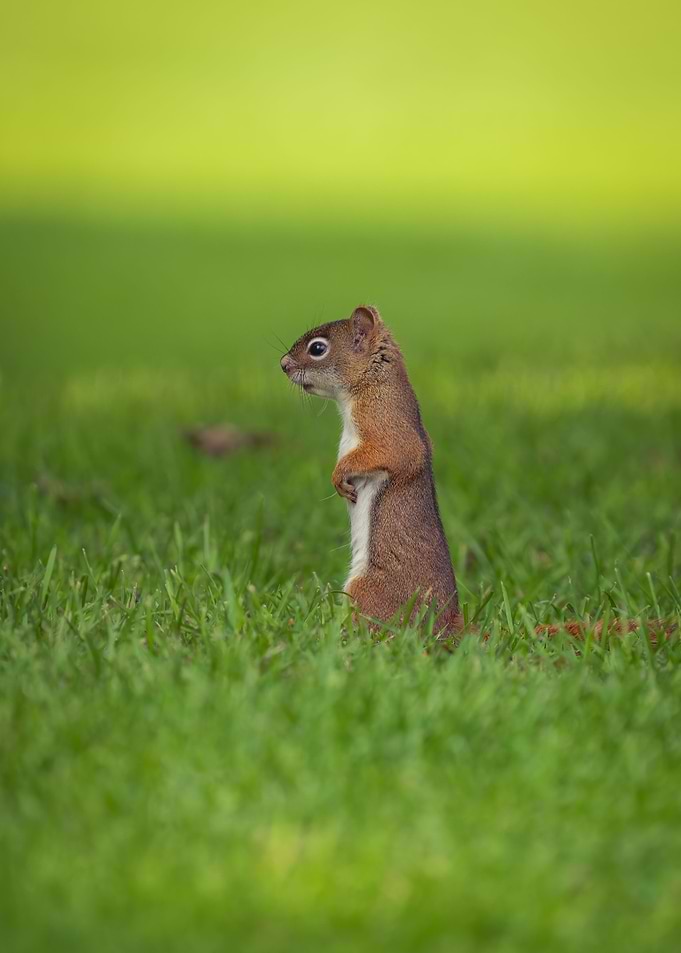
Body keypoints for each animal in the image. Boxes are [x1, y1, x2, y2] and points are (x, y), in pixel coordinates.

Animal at [281, 306, 676, 643]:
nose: (283, 364)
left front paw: (338, 475)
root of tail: (448, 625)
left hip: (366, 591)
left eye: (318, 348)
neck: (369, 384)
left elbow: (395, 453)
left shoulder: (384, 421)